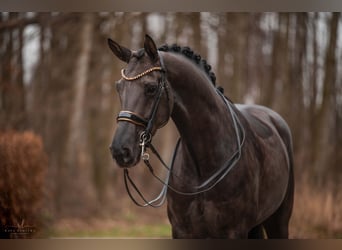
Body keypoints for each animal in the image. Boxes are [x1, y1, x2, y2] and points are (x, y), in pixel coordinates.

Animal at [107, 34, 294, 238]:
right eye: (119, 87)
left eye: (151, 88)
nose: (120, 150)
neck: (204, 167)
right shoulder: (181, 231)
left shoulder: (235, 231)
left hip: (278, 221)